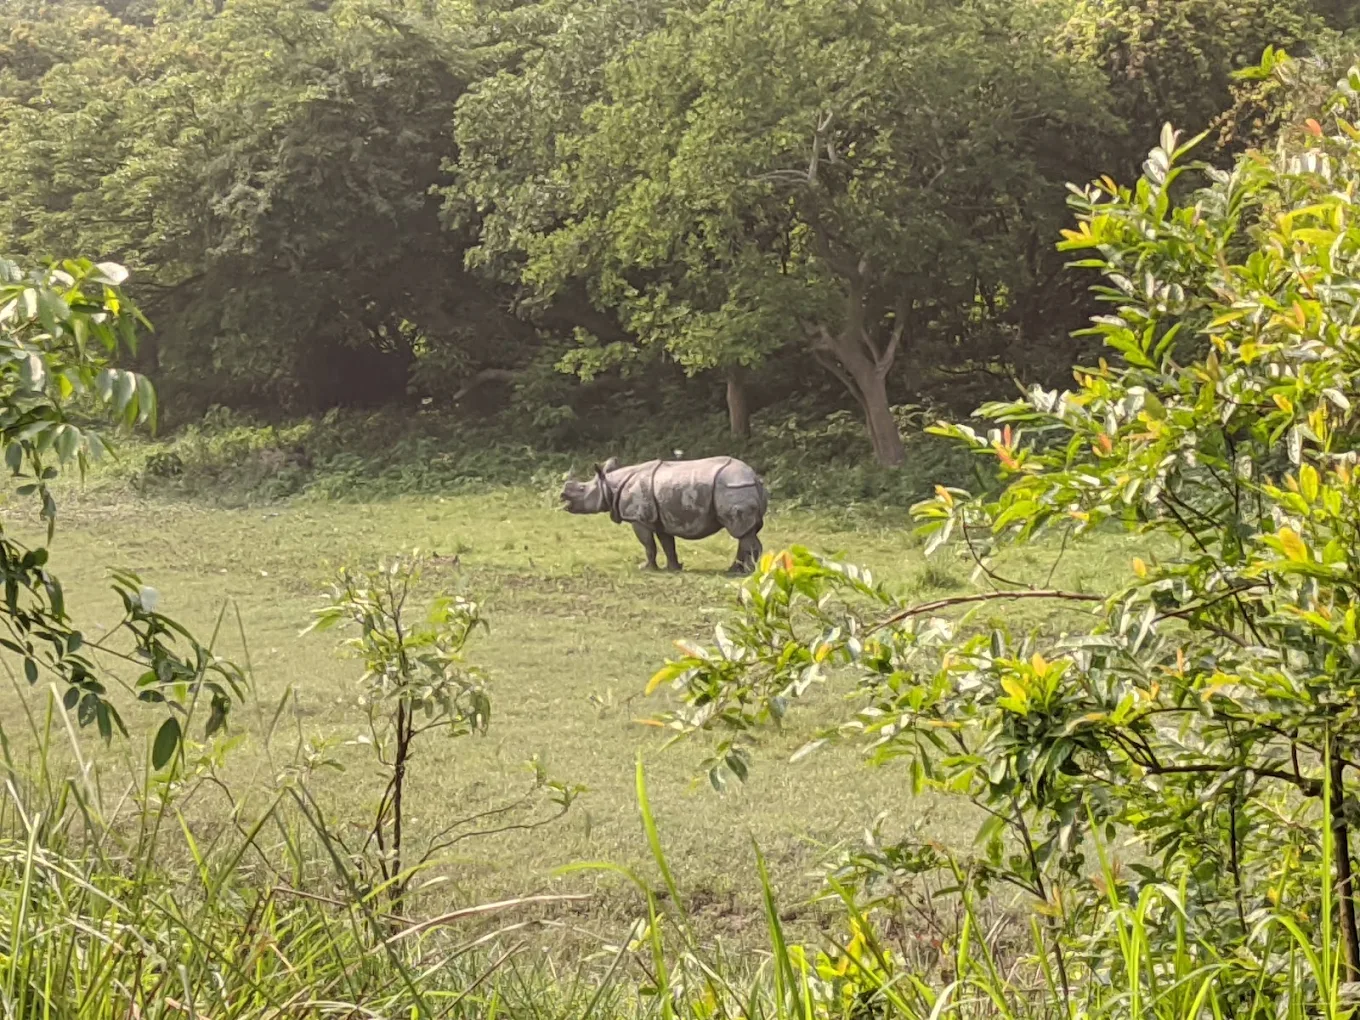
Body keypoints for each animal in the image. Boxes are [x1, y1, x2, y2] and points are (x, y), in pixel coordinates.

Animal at [560, 456, 767, 574]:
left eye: (581, 489)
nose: (562, 495)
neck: (610, 485)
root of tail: (754, 477)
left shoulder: (637, 518)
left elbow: (648, 545)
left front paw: (646, 569)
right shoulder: (661, 518)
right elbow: (667, 544)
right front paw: (673, 568)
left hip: (734, 487)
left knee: (741, 532)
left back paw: (749, 572)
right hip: (739, 487)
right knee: (744, 533)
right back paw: (735, 570)